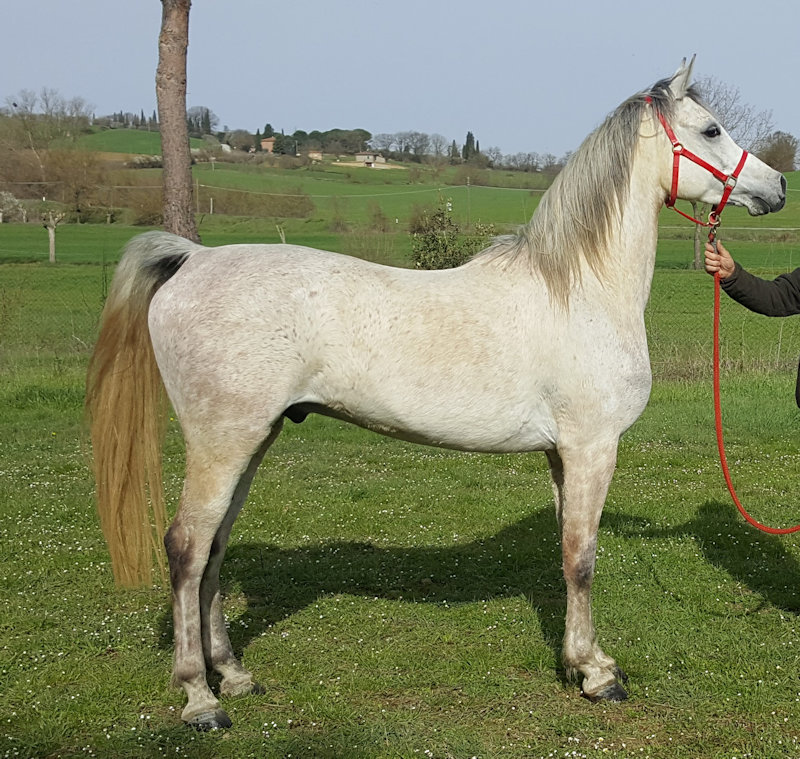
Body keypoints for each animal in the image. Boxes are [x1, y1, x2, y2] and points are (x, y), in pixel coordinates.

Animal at [86, 59, 786, 729]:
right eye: (711, 130)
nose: (776, 186)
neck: (578, 288)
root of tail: (192, 260)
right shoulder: (592, 447)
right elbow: (582, 559)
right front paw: (598, 674)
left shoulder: (562, 454)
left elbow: (566, 554)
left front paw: (576, 662)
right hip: (222, 442)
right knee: (186, 548)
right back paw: (200, 699)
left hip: (251, 441)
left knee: (213, 552)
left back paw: (233, 675)